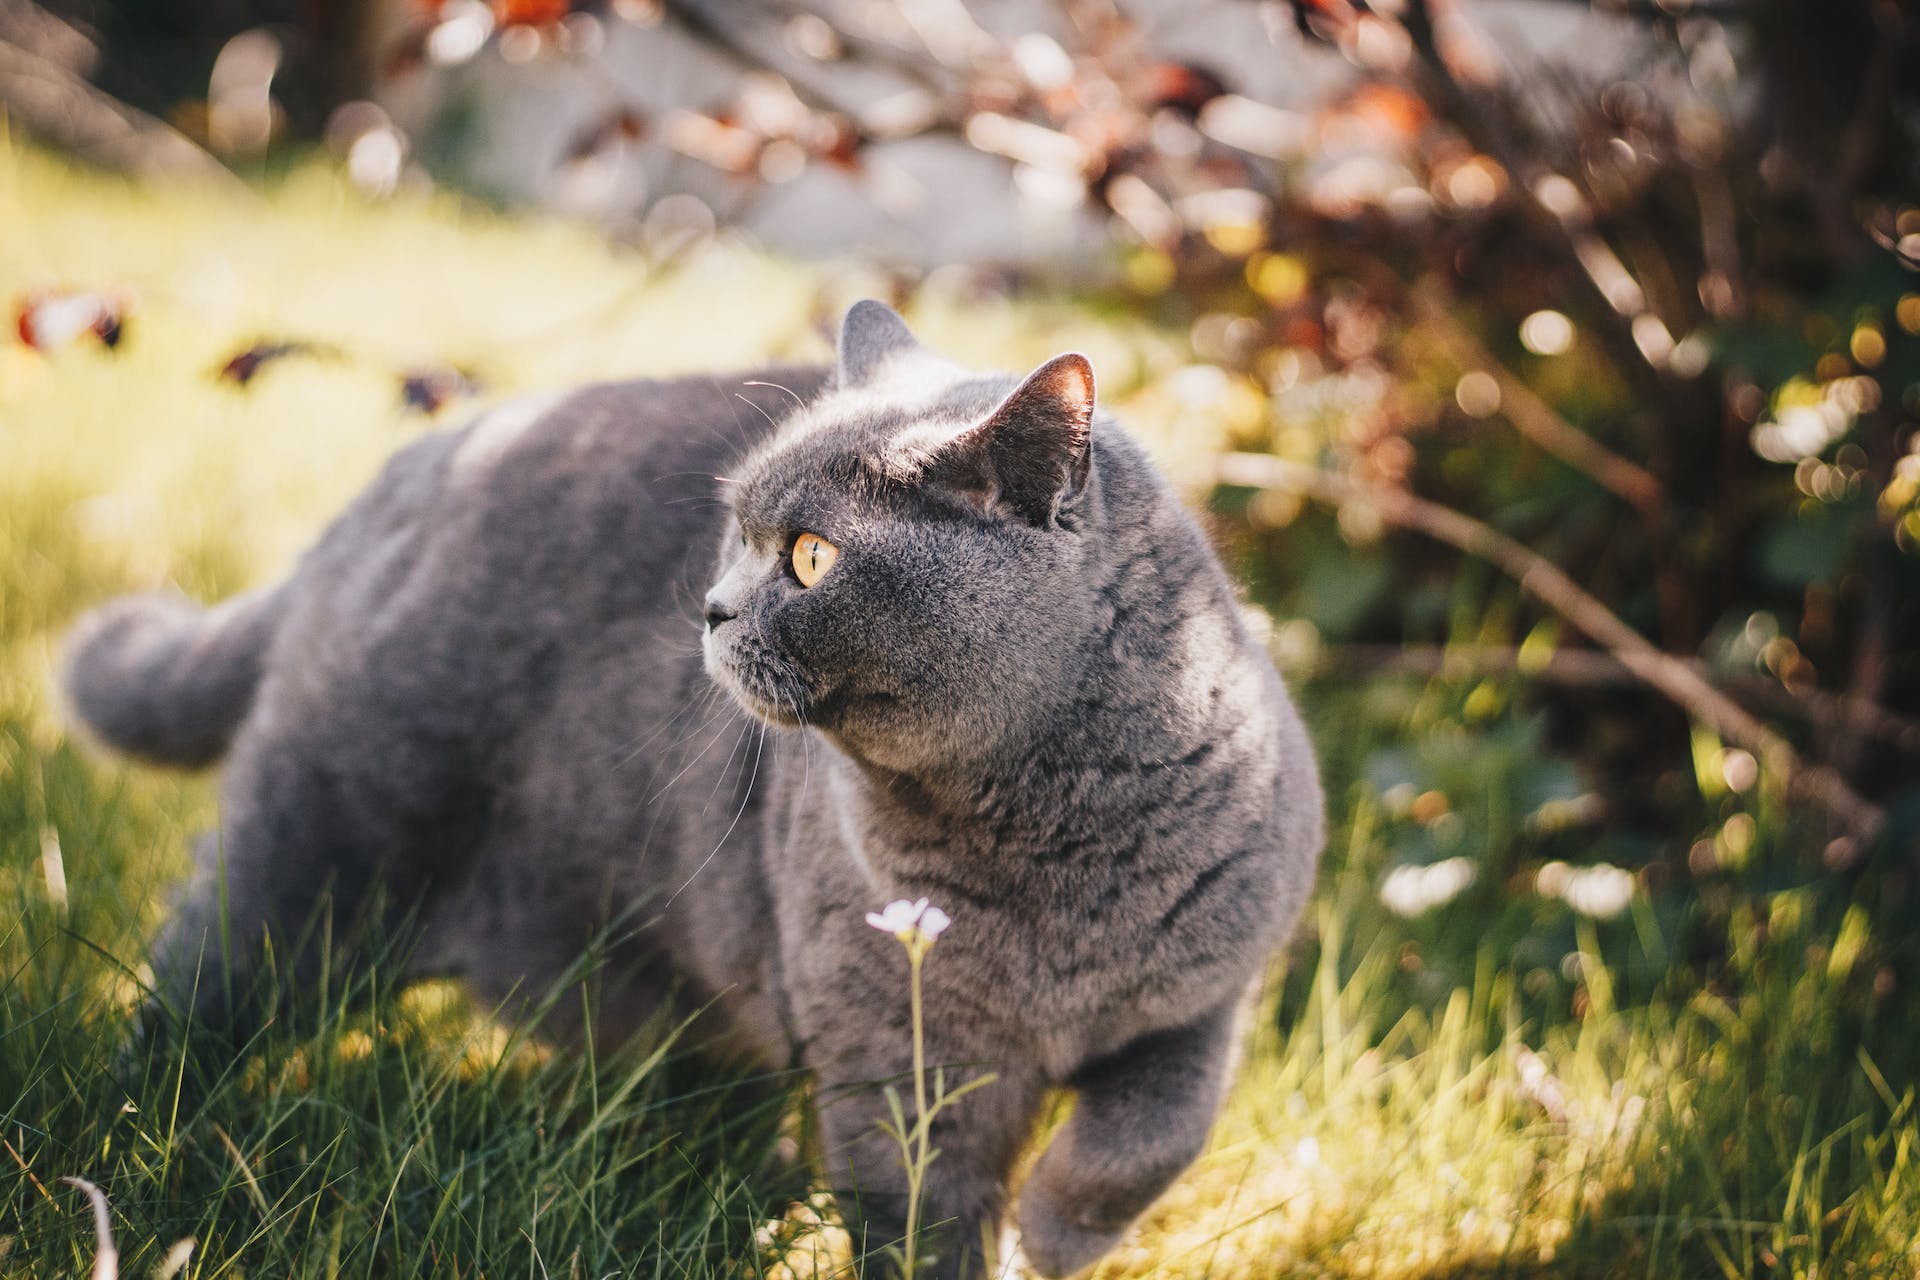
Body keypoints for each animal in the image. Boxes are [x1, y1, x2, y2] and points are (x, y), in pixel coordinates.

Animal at [60, 303, 1320, 1280]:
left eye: (810, 555)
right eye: (736, 533)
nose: (710, 607)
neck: (1049, 853)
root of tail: (417, 465)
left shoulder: (1206, 996)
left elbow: (1148, 1140)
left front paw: (1057, 1235)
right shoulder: (896, 1058)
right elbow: (922, 1217)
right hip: (316, 842)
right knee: (199, 980)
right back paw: (130, 1138)